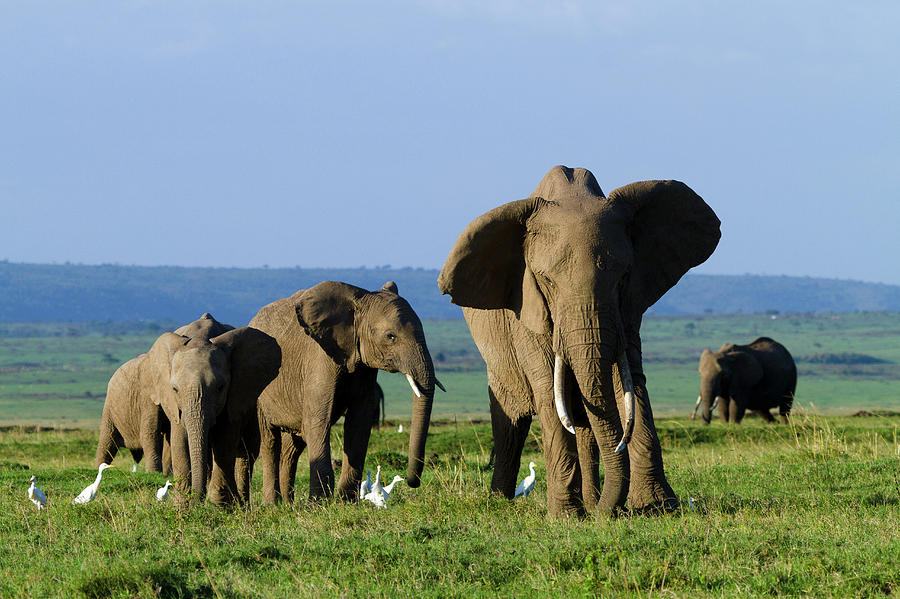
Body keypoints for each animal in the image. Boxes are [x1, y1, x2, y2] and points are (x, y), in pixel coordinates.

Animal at [95, 314, 234, 474]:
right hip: (110, 405)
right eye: (175, 389)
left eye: (220, 387)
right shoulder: (149, 392)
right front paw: (153, 473)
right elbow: (150, 432)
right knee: (107, 440)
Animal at [250, 282, 440, 506]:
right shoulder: (320, 358)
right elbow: (317, 421)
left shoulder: (363, 366)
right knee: (270, 442)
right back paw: (272, 504)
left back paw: (288, 504)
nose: (412, 481)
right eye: (390, 336)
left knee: (292, 447)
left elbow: (359, 422)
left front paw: (346, 501)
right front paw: (320, 503)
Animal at [436, 166, 716, 516]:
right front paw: (566, 518)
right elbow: (548, 390)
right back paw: (502, 501)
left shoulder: (628, 306)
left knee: (582, 422)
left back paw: (592, 501)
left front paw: (658, 507)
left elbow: (630, 383)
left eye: (623, 276)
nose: (611, 513)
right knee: (511, 421)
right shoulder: (526, 310)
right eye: (546, 281)